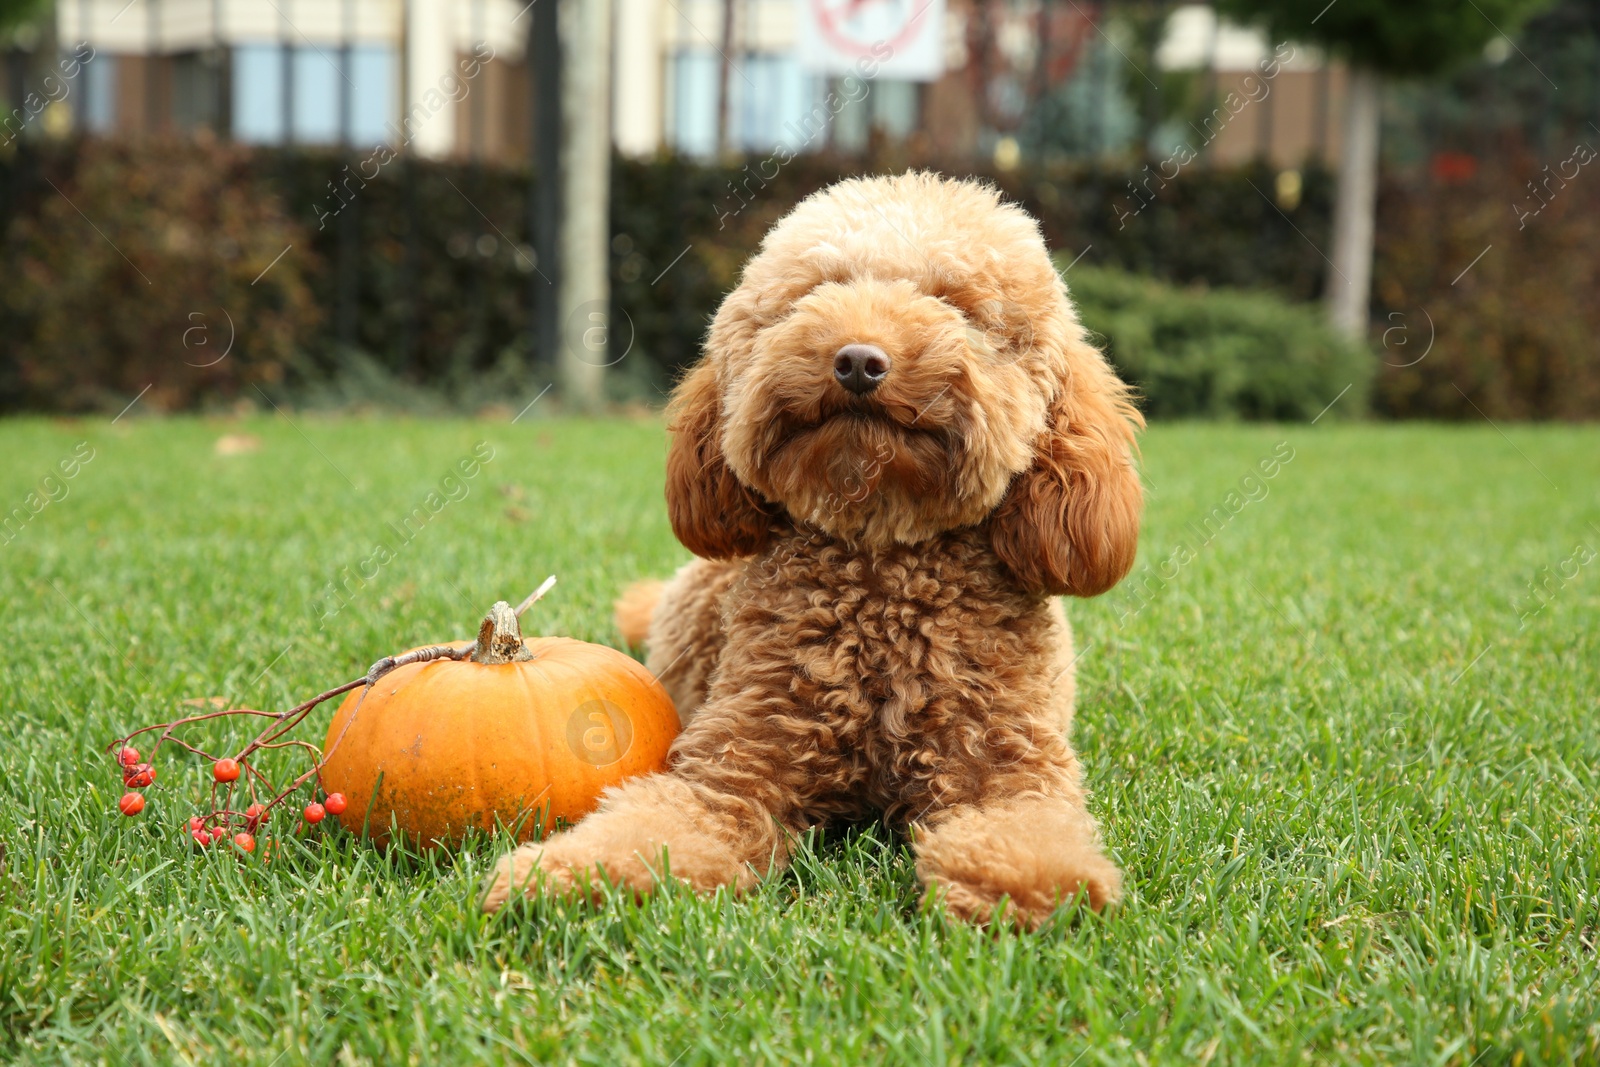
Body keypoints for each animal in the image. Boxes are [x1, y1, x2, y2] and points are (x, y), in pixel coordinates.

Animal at [480, 173, 1145, 927]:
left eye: (956, 304)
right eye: (816, 293)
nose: (858, 361)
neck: (882, 566)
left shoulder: (1006, 763)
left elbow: (1028, 830)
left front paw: (1029, 885)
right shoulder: (735, 764)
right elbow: (658, 823)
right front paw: (567, 875)